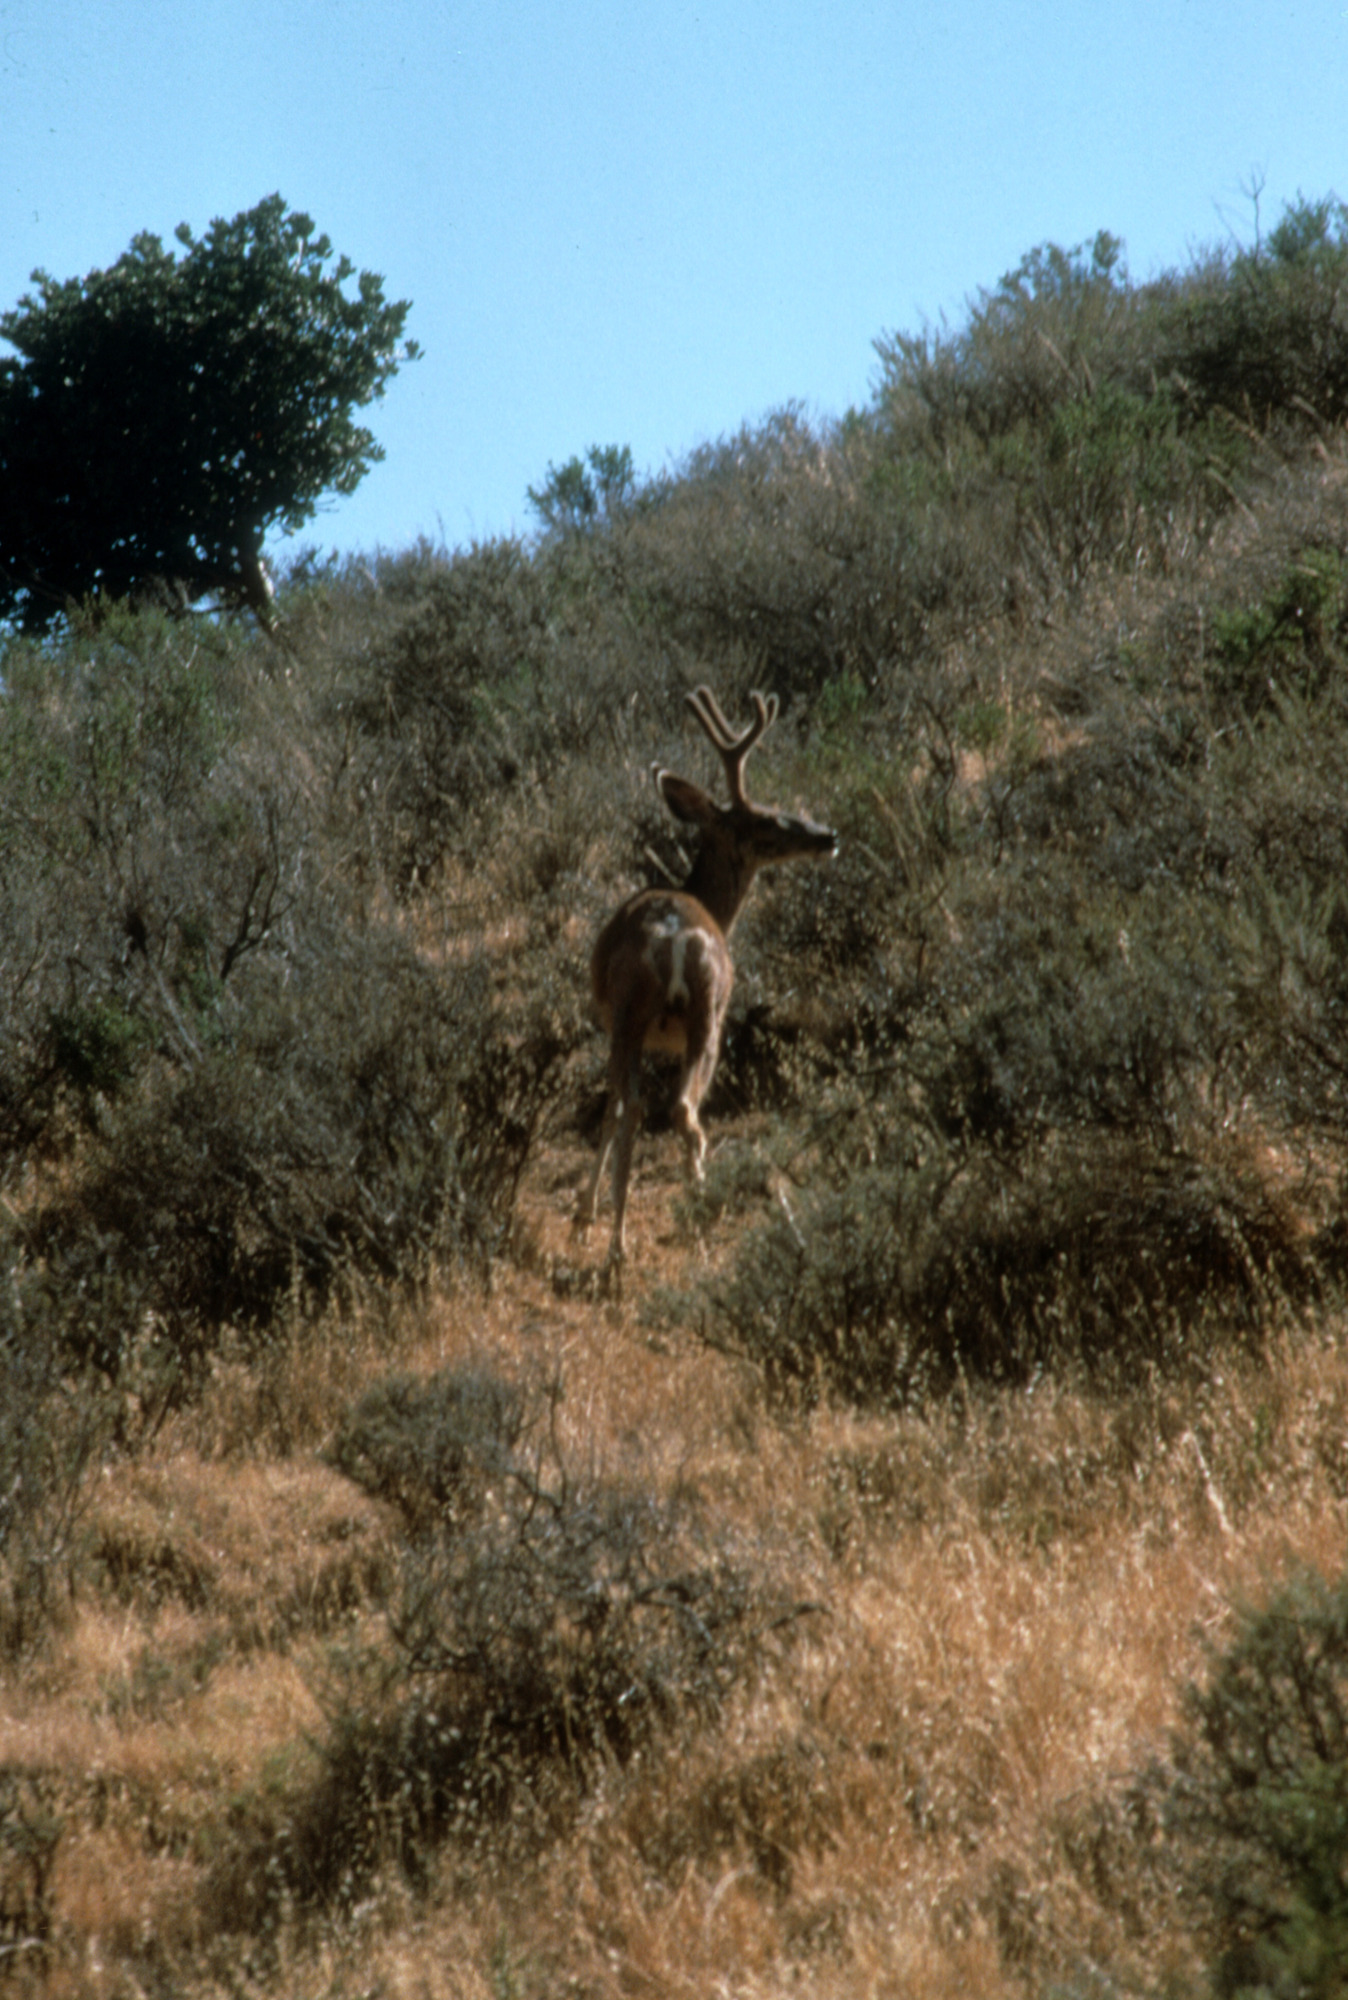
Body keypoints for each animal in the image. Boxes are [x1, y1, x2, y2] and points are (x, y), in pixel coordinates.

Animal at [574, 685, 836, 1278]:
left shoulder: (612, 1024)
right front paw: (586, 1213)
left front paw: (586, 1212)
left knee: (647, 1108)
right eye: (769, 821)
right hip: (703, 1015)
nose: (828, 835)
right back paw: (689, 1222)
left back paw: (633, 1241)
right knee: (674, 1110)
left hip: (648, 1015)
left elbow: (611, 1107)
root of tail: (676, 936)